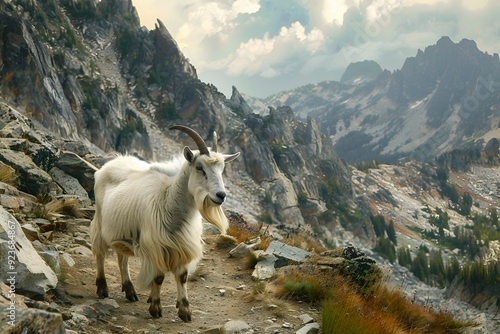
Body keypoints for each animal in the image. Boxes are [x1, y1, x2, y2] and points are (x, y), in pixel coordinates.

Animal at [89, 124, 240, 320]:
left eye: (222, 169)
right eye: (199, 167)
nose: (221, 195)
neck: (169, 201)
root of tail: (109, 164)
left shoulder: (181, 245)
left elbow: (182, 276)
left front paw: (184, 311)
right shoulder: (156, 246)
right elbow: (158, 277)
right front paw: (155, 307)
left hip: (121, 229)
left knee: (123, 258)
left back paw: (130, 291)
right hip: (100, 221)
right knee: (100, 253)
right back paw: (102, 289)